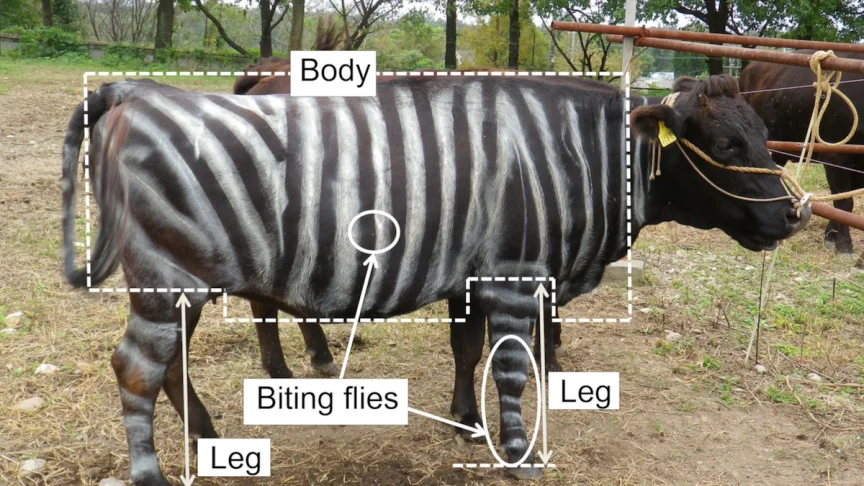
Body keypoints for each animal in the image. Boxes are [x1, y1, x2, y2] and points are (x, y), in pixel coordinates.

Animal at [61, 73, 809, 484]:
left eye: (766, 143)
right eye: (727, 147)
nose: (796, 216)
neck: (571, 156)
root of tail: (136, 92)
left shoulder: (472, 278)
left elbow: (467, 350)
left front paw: (465, 423)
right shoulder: (511, 278)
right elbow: (510, 367)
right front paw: (517, 454)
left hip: (183, 285)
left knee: (168, 366)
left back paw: (209, 439)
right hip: (170, 279)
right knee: (136, 369)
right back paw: (153, 472)